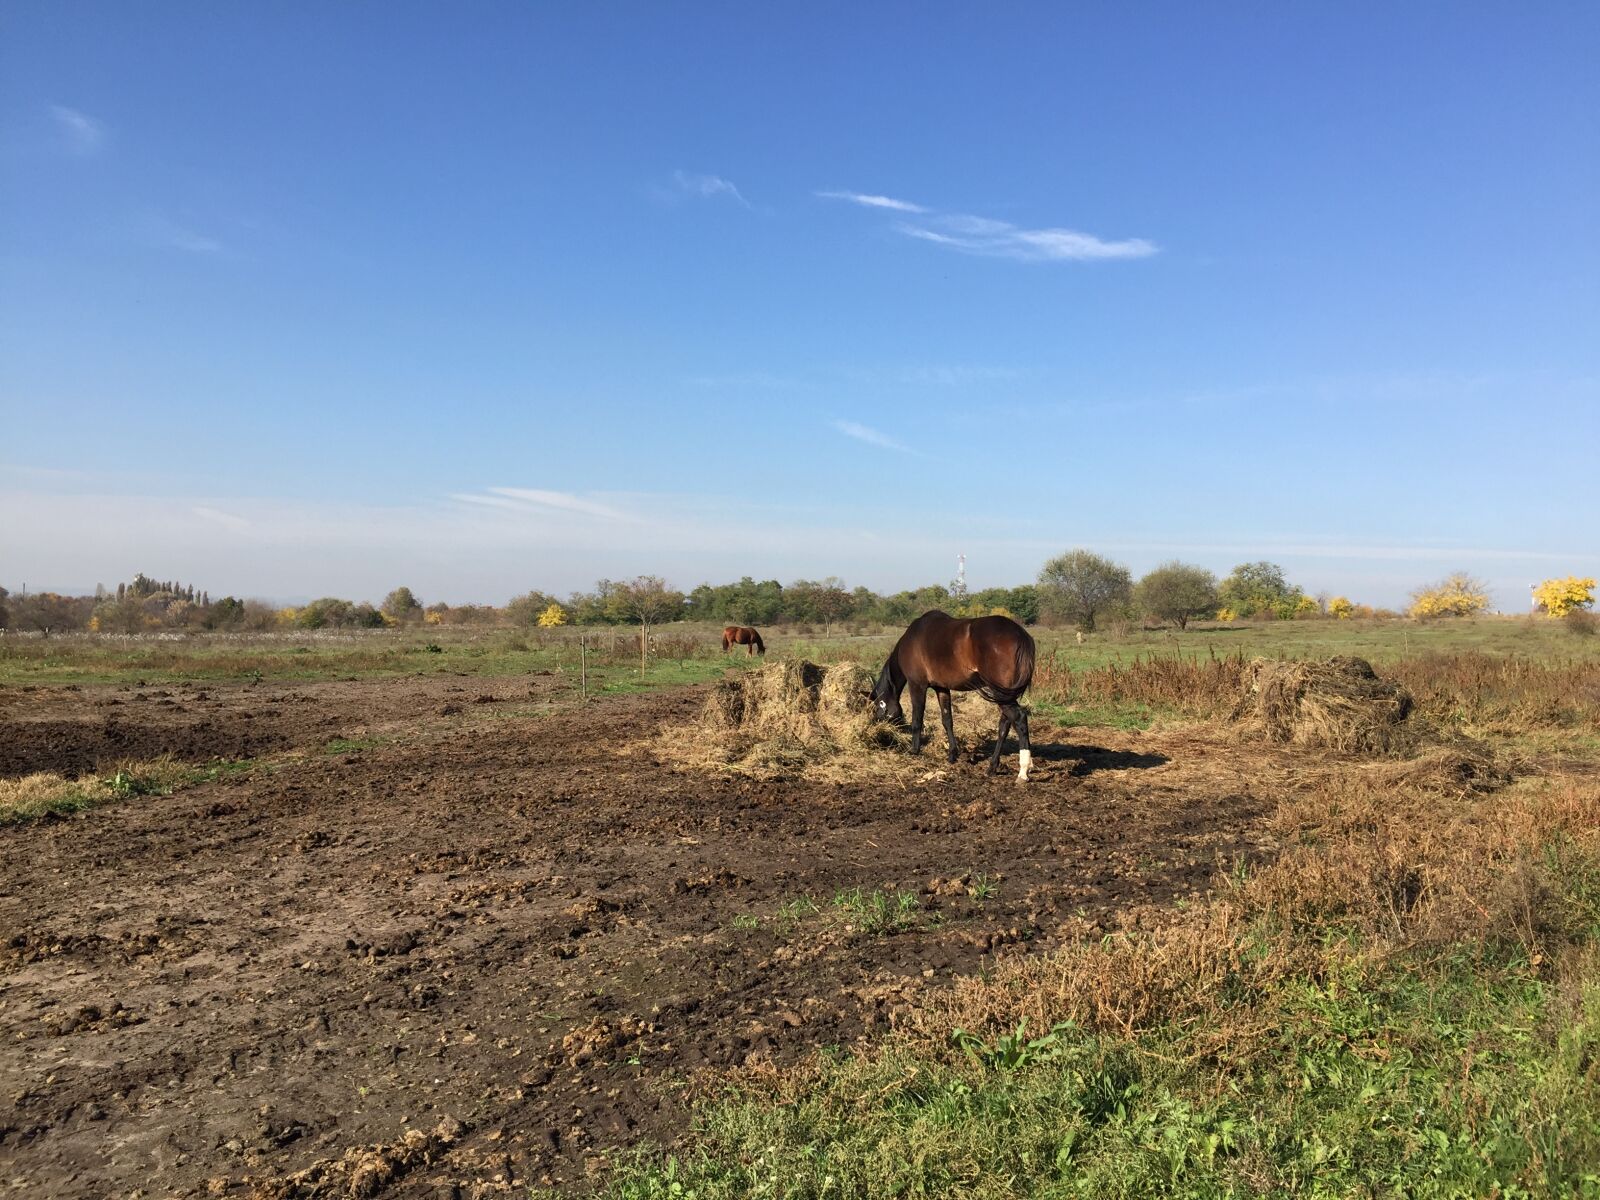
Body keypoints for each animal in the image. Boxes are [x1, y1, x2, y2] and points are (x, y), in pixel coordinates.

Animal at [872, 610, 1036, 780]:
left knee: (1019, 718)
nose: (879, 730)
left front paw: (914, 750)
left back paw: (1023, 771)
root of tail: (1020, 634)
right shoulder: (941, 688)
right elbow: (947, 720)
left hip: (1001, 694)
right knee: (1005, 725)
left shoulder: (917, 685)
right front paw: (952, 754)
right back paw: (992, 767)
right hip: (1005, 695)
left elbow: (917, 720)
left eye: (878, 706)